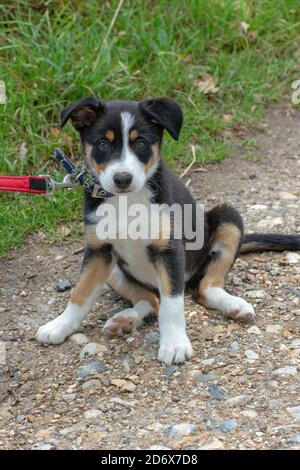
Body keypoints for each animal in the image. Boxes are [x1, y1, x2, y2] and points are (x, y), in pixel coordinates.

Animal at [35, 97, 300, 366]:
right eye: (102, 143)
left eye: (140, 143)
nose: (123, 178)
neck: (127, 201)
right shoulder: (98, 251)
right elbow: (80, 293)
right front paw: (59, 326)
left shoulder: (170, 250)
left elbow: (172, 304)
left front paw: (174, 344)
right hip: (114, 271)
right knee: (151, 300)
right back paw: (125, 320)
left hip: (228, 219)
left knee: (206, 288)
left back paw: (233, 305)